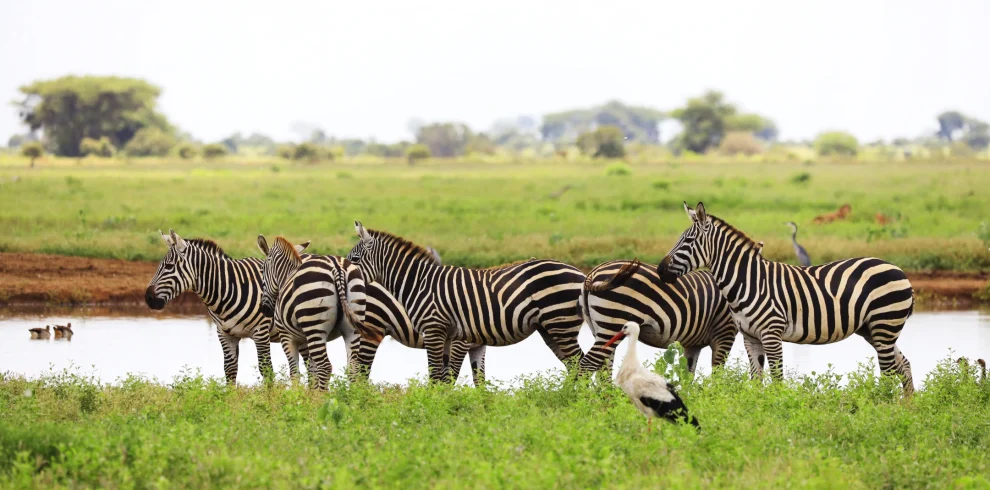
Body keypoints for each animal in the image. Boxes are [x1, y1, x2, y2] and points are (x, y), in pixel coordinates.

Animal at [146, 229, 276, 385]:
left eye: (169, 266)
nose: (148, 298)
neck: (229, 289)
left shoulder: (261, 332)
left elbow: (266, 370)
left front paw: (271, 392)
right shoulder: (225, 334)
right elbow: (230, 370)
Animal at [346, 221, 587, 383]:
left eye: (354, 259)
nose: (345, 275)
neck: (419, 283)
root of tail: (581, 274)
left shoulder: (439, 333)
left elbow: (442, 377)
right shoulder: (453, 338)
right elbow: (455, 379)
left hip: (560, 324)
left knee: (580, 363)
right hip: (551, 328)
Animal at [578, 259, 739, 376]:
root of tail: (594, 272)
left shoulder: (693, 344)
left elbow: (687, 376)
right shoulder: (724, 332)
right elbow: (717, 374)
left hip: (600, 330)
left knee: (603, 368)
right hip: (613, 324)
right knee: (587, 364)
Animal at [657, 202, 915, 395]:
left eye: (688, 242)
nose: (660, 270)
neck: (748, 281)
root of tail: (899, 270)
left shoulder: (771, 334)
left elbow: (777, 379)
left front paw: (778, 411)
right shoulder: (750, 337)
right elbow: (756, 380)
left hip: (884, 324)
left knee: (889, 371)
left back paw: (883, 408)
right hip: (873, 329)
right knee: (903, 364)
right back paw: (907, 408)